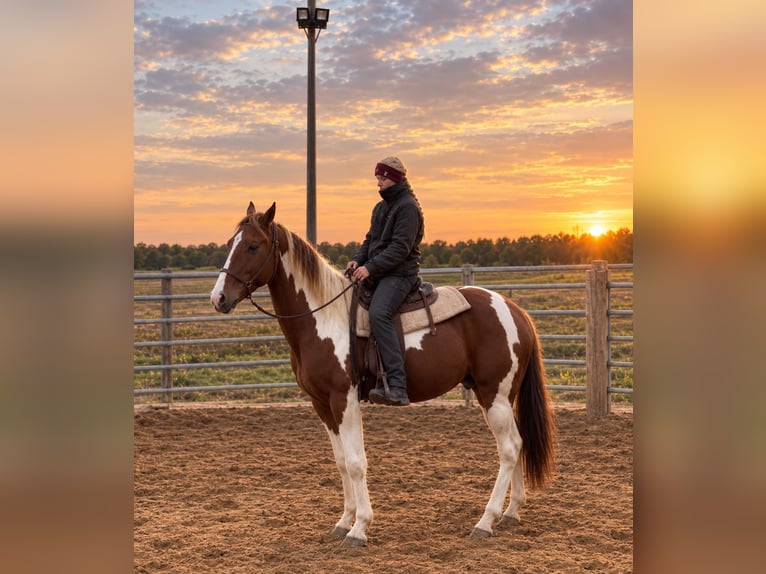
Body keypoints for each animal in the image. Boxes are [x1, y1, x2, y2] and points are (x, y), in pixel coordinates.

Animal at [210, 202, 556, 547]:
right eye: (230, 243)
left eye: (253, 246)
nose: (218, 298)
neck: (323, 318)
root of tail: (515, 311)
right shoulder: (322, 404)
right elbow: (341, 462)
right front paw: (344, 521)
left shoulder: (344, 400)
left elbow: (355, 462)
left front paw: (359, 528)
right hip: (501, 397)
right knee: (518, 442)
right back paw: (511, 512)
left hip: (493, 394)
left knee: (508, 449)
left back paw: (486, 521)